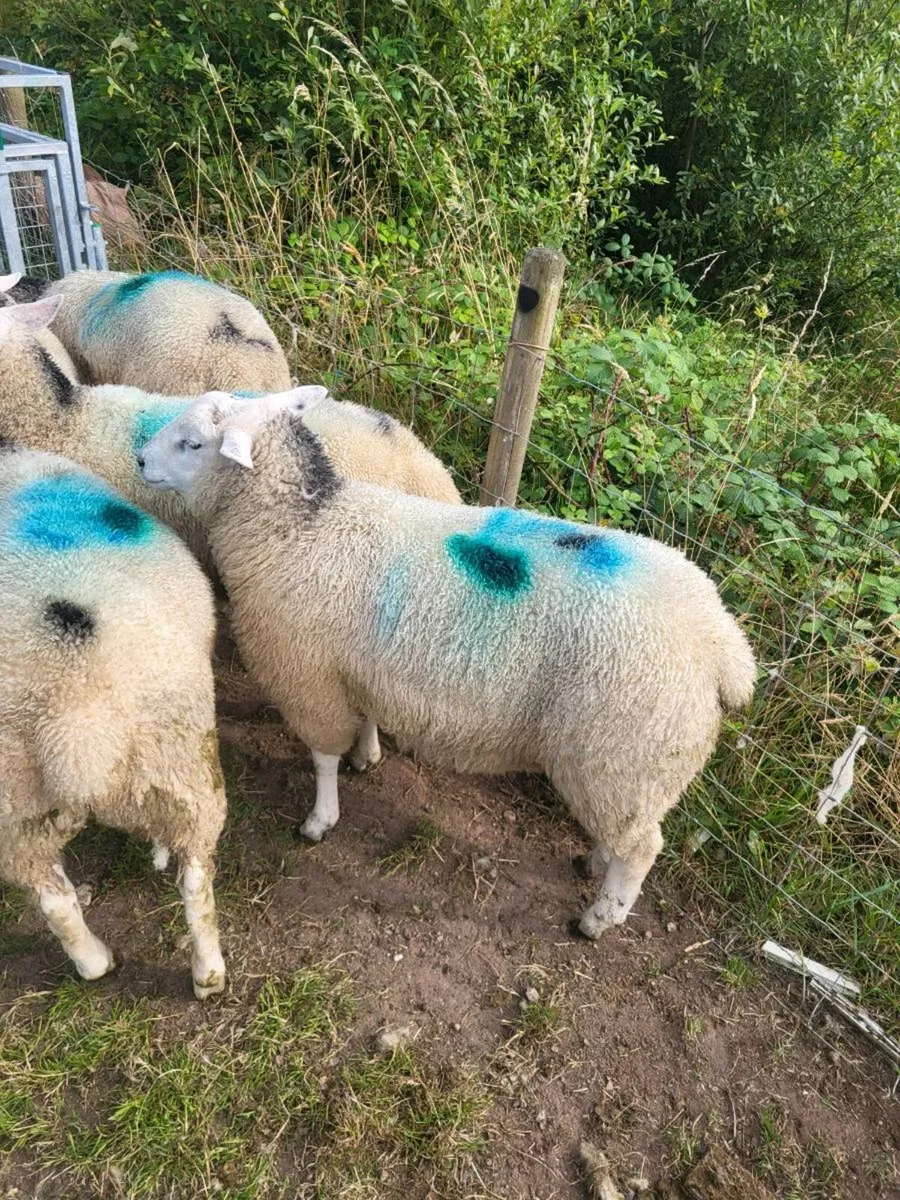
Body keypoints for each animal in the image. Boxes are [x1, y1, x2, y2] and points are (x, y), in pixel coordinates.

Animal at [0, 445, 227, 998]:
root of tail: (74, 724)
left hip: (18, 805)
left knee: (53, 898)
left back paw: (95, 962)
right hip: (183, 762)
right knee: (195, 877)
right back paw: (208, 974)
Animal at [139, 393, 757, 937]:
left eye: (193, 444)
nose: (140, 459)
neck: (303, 524)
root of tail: (724, 645)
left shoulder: (308, 675)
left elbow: (321, 759)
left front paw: (319, 820)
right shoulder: (359, 665)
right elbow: (365, 720)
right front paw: (367, 755)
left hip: (626, 751)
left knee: (642, 848)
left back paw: (599, 918)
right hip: (629, 766)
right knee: (626, 833)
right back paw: (595, 864)